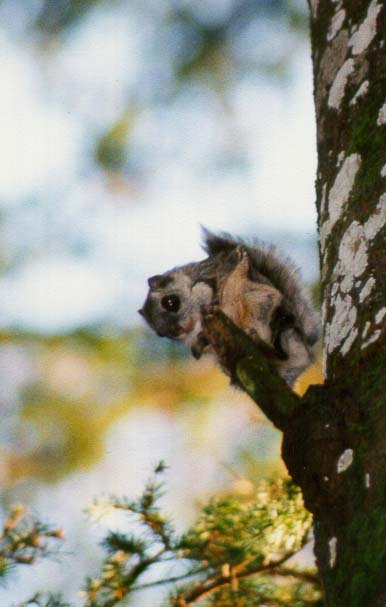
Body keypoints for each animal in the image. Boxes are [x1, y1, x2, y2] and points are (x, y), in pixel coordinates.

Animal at [139, 230, 320, 388]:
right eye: (161, 334)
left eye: (170, 302)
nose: (179, 329)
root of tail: (305, 354)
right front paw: (199, 345)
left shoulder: (218, 269)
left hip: (260, 301)